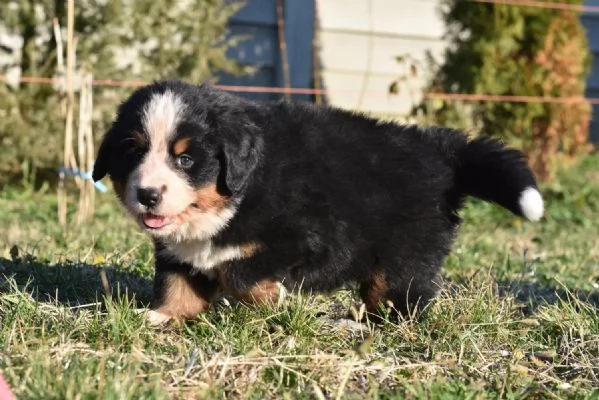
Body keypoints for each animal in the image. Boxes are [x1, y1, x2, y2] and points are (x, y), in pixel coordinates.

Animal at [92, 79, 544, 324]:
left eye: (185, 159)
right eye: (133, 151)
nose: (147, 195)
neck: (237, 196)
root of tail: (440, 149)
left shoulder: (310, 238)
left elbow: (240, 272)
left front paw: (270, 299)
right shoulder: (178, 251)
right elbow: (177, 284)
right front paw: (162, 316)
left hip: (405, 255)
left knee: (400, 301)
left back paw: (362, 326)